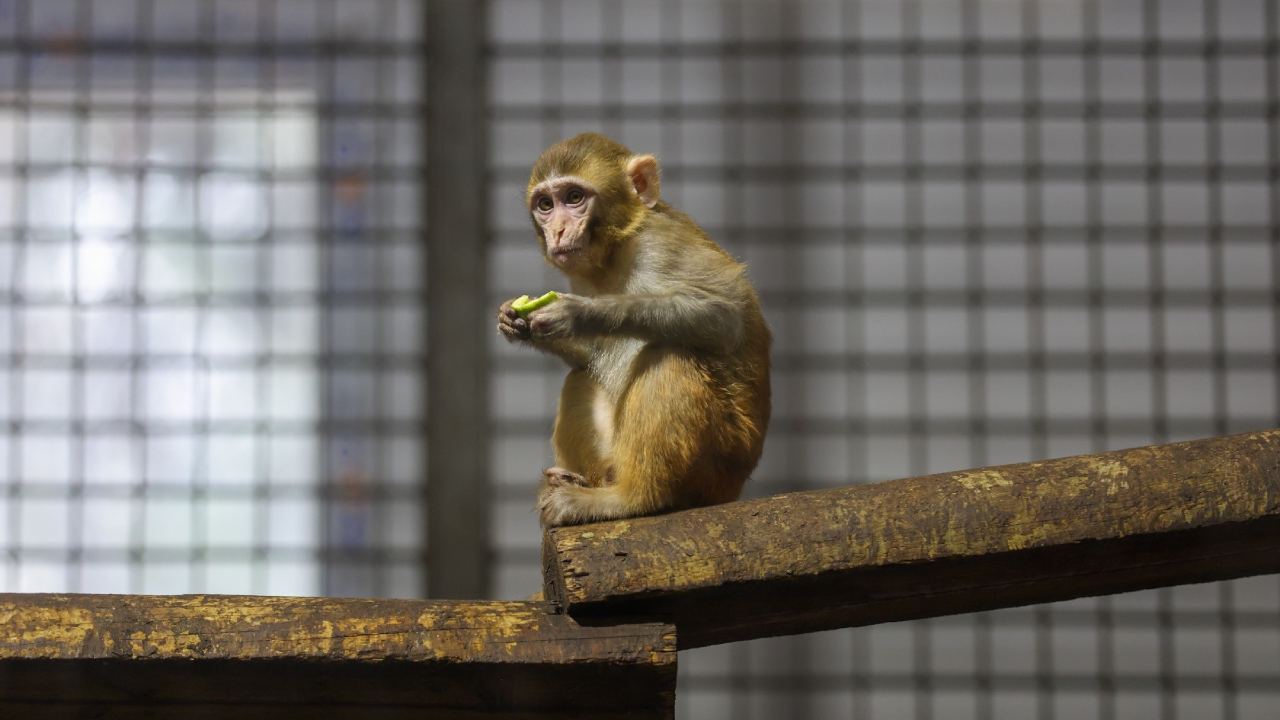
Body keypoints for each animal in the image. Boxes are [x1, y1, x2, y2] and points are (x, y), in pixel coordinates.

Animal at [491, 133, 768, 527]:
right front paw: (514, 322)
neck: (616, 249)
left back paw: (631, 498)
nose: (558, 230)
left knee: (669, 355)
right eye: (545, 204)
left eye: (574, 198)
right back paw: (576, 480)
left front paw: (582, 312)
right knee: (581, 376)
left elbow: (725, 315)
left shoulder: (659, 245)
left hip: (716, 469)